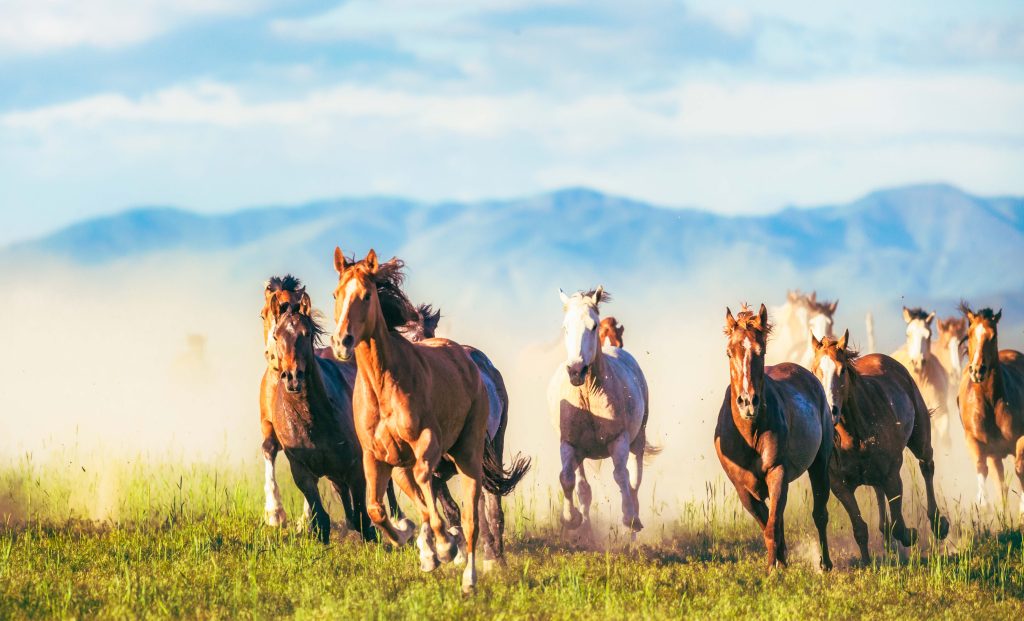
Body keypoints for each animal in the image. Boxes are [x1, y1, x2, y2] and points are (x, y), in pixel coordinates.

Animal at [330, 247, 528, 593]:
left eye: (367, 296)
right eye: (336, 295)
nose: (343, 341)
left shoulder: (429, 454)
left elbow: (445, 506)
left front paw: (447, 549)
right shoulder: (388, 459)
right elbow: (404, 505)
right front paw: (424, 545)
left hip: (485, 449)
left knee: (487, 509)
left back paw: (488, 562)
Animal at [547, 287, 652, 536]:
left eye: (593, 325)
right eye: (565, 327)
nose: (576, 370)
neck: (587, 394)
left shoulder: (619, 440)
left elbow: (621, 476)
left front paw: (628, 518)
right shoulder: (569, 444)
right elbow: (567, 479)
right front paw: (571, 518)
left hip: (638, 440)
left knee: (634, 480)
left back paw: (634, 525)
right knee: (583, 487)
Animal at [716, 304, 833, 571]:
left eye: (762, 351)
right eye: (729, 352)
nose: (748, 402)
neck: (749, 435)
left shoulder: (777, 473)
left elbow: (771, 526)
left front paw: (772, 569)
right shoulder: (742, 487)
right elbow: (768, 523)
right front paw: (779, 562)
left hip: (820, 464)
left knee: (820, 515)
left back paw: (825, 564)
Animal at [810, 331, 948, 563]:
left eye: (842, 369)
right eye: (814, 370)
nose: (831, 411)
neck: (853, 437)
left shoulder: (892, 476)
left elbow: (899, 525)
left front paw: (911, 535)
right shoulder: (840, 486)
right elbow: (859, 527)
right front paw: (866, 562)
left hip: (920, 439)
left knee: (926, 466)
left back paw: (938, 523)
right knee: (878, 491)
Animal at [958, 303, 1024, 511]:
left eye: (993, 335)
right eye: (969, 333)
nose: (978, 370)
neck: (991, 402)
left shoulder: (1020, 438)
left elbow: (1020, 468)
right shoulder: (974, 440)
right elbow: (981, 467)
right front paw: (982, 501)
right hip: (995, 455)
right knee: (1000, 484)